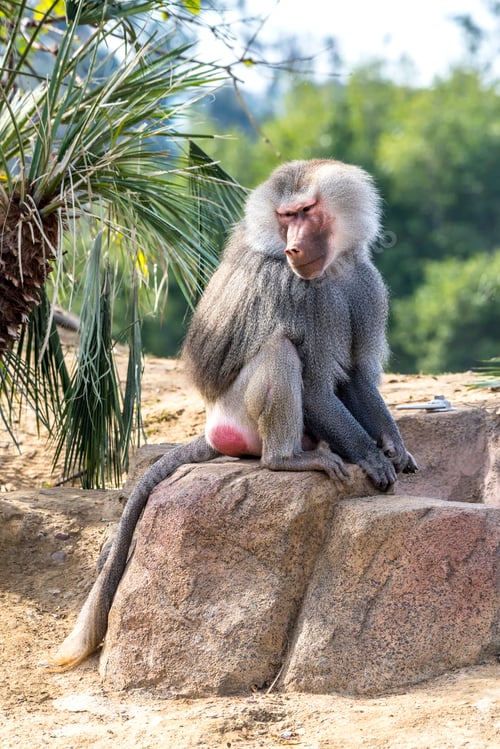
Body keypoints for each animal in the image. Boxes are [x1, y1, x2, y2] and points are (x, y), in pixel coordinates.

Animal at [50, 158, 416, 670]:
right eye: (285, 217)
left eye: (306, 211)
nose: (293, 247)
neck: (335, 266)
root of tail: (209, 428)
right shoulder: (302, 293)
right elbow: (318, 386)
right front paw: (373, 459)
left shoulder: (363, 283)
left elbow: (358, 377)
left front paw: (394, 449)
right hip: (239, 413)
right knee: (280, 350)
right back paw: (288, 459)